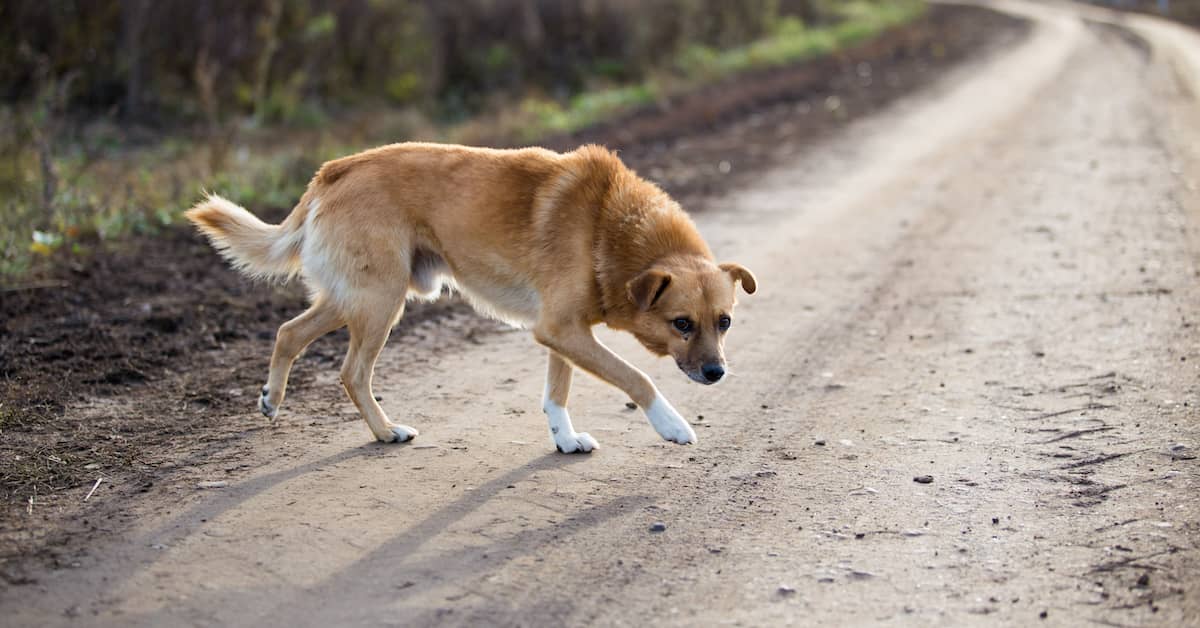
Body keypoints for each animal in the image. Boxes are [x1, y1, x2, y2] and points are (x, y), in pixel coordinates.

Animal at [186, 143, 753, 451]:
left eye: (724, 322)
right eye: (682, 323)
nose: (717, 374)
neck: (610, 226)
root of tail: (333, 171)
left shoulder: (563, 333)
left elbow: (557, 392)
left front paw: (565, 440)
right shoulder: (563, 330)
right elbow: (636, 377)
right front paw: (672, 424)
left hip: (354, 297)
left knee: (288, 332)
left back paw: (272, 398)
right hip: (380, 300)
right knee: (351, 373)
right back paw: (385, 432)